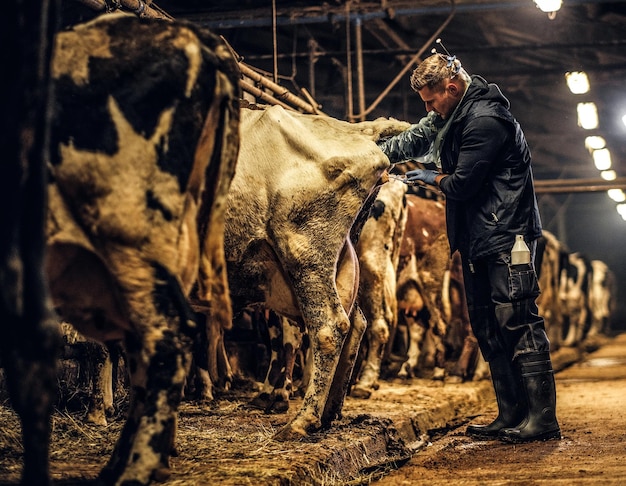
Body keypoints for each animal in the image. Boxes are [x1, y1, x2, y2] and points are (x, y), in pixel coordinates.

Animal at [222, 106, 408, 440]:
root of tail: (360, 130)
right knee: (356, 321)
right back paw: (329, 412)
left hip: (305, 252)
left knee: (331, 327)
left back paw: (303, 420)